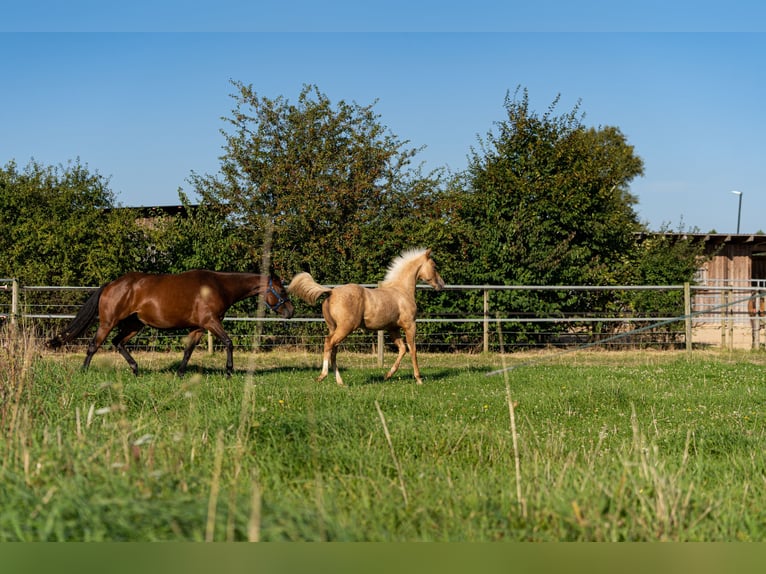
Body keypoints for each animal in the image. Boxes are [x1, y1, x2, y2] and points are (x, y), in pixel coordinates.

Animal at [47, 270, 294, 376]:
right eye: (282, 291)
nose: (291, 312)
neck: (218, 286)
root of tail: (110, 285)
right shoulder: (211, 322)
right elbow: (229, 342)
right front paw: (228, 372)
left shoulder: (197, 328)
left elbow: (187, 352)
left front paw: (180, 374)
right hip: (108, 322)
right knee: (94, 345)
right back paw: (83, 372)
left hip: (135, 325)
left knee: (118, 343)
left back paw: (136, 370)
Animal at [287, 248, 445, 385]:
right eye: (434, 266)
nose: (442, 285)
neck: (402, 291)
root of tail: (331, 292)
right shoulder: (410, 325)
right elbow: (413, 350)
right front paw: (419, 379)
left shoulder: (392, 328)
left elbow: (402, 349)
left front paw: (387, 375)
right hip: (345, 328)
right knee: (328, 343)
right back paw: (322, 376)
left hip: (334, 327)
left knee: (333, 350)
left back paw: (340, 382)